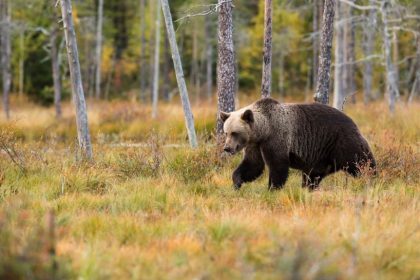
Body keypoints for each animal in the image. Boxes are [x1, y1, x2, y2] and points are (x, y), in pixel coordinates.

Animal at [221, 98, 376, 190]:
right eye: (226, 132)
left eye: (235, 133)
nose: (227, 148)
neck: (264, 130)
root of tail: (353, 122)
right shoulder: (255, 145)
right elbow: (253, 165)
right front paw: (237, 182)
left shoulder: (277, 138)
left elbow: (278, 166)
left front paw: (272, 188)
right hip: (321, 157)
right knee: (312, 175)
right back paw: (308, 188)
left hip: (342, 142)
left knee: (361, 161)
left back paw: (372, 178)